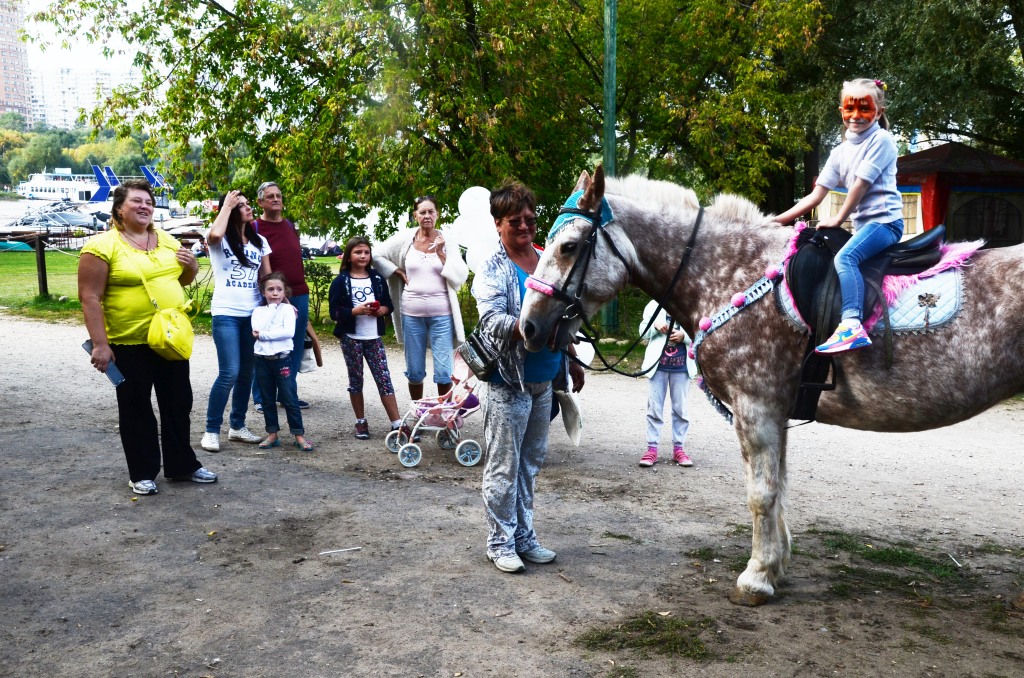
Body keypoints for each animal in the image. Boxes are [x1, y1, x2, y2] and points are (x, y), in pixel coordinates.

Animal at [520, 166, 1024, 606]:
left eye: (568, 246)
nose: (528, 326)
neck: (733, 272)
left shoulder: (756, 406)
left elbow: (760, 494)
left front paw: (757, 577)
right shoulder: (774, 411)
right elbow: (778, 487)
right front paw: (776, 565)